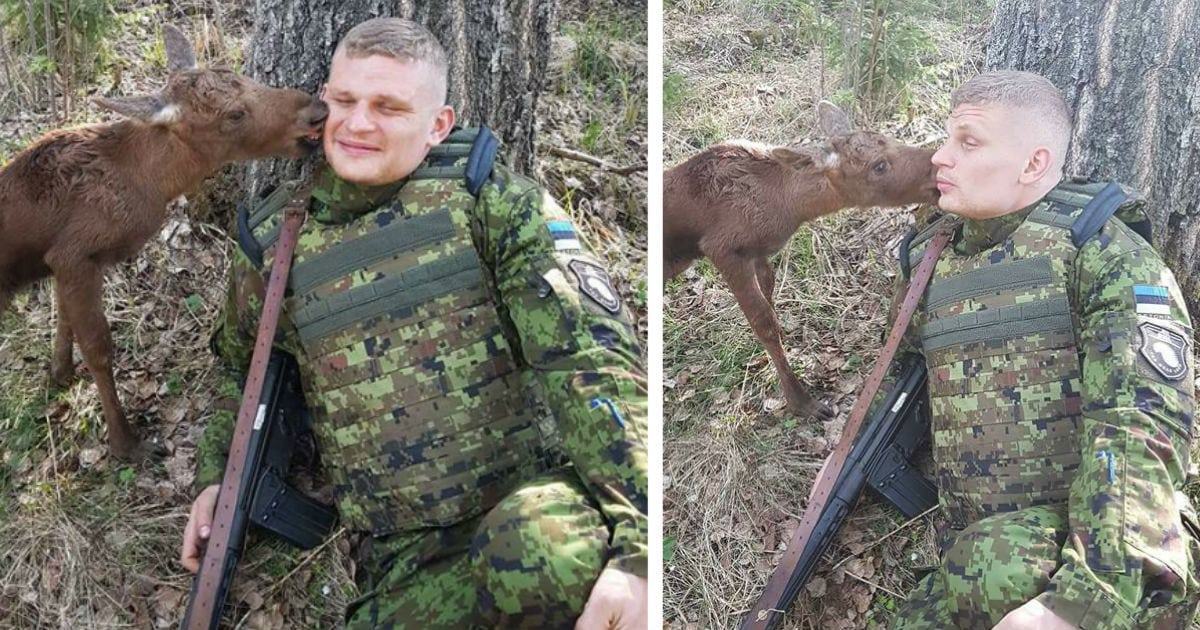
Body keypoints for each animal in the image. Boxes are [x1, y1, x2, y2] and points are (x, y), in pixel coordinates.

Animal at [0, 25, 326, 456]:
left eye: (245, 76)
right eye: (233, 114)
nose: (316, 109)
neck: (151, 185)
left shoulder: (59, 259)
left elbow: (65, 317)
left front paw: (60, 373)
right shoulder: (75, 254)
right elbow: (98, 347)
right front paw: (125, 443)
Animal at [667, 102, 936, 417]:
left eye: (890, 139)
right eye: (878, 165)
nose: (937, 165)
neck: (790, 207)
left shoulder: (758, 252)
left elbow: (770, 299)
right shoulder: (722, 249)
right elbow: (763, 323)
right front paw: (801, 402)